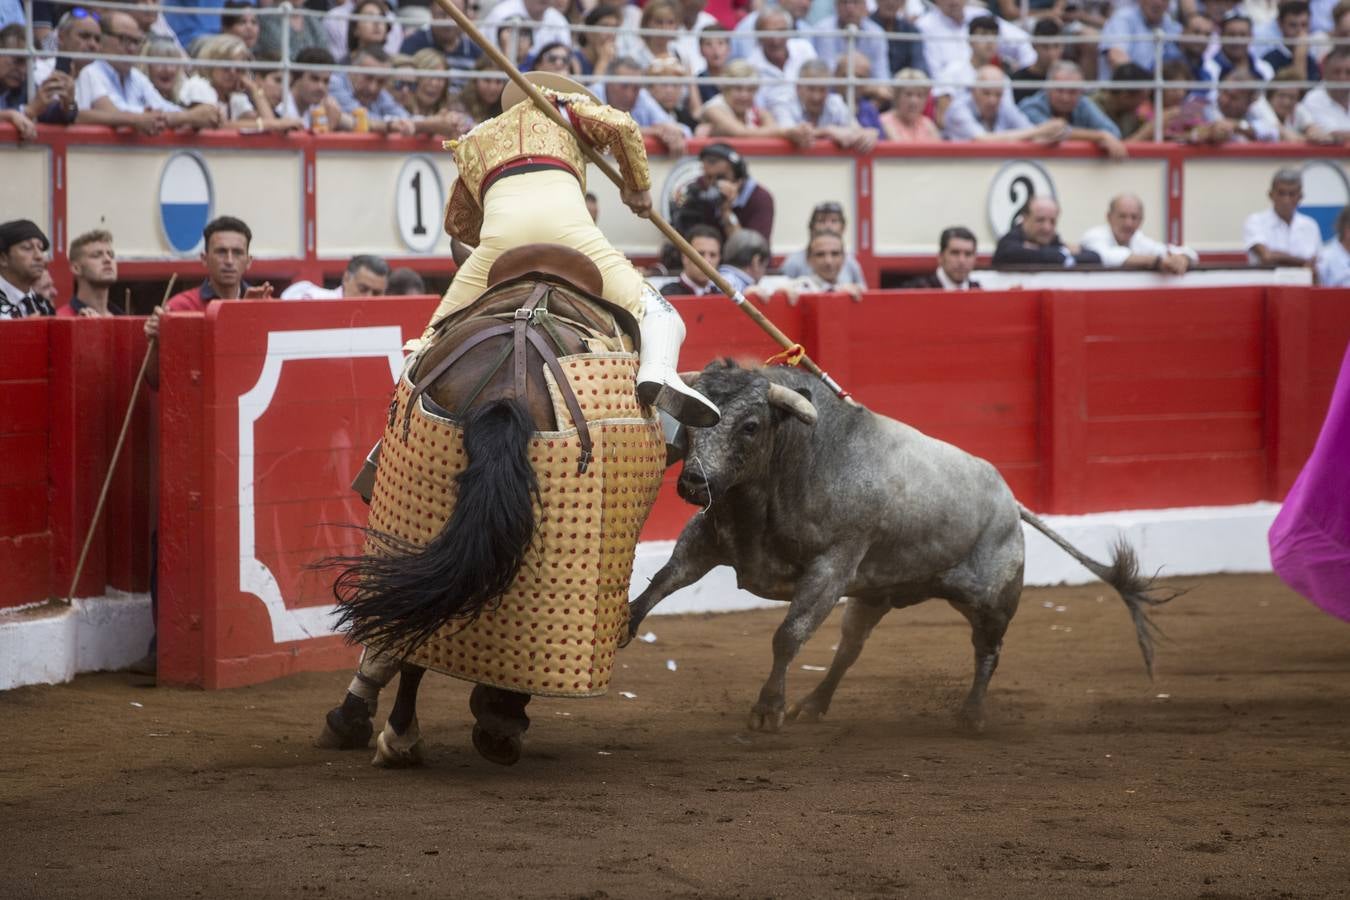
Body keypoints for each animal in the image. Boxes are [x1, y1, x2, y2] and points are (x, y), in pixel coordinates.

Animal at [322, 246, 669, 766]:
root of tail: (507, 389)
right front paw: (497, 715)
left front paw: (356, 716)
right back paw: (480, 727)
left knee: (422, 617)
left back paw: (403, 735)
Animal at [626, 361, 1177, 734]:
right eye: (690, 421)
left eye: (750, 425)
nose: (694, 483)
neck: (798, 462)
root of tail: (1011, 500)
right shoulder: (707, 539)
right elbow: (660, 584)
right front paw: (624, 627)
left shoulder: (830, 570)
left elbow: (788, 636)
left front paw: (768, 710)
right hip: (875, 596)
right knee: (850, 649)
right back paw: (816, 704)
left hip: (993, 600)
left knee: (989, 651)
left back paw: (971, 715)